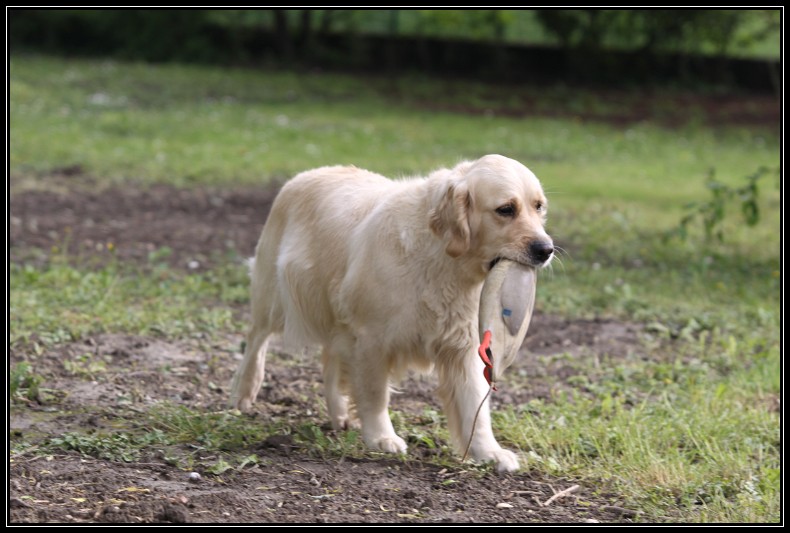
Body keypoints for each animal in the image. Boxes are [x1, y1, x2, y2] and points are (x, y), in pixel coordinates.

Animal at [230, 153, 556, 470]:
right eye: (506, 209)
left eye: (539, 206)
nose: (546, 249)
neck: (441, 259)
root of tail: (302, 176)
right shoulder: (371, 338)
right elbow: (375, 394)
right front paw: (381, 438)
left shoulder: (462, 346)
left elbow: (474, 403)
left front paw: (489, 452)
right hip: (273, 296)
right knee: (256, 339)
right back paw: (243, 391)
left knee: (329, 359)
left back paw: (339, 413)